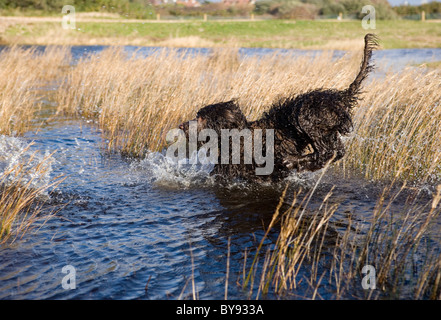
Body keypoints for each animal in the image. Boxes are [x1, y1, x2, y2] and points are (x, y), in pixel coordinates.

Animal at [177, 34, 376, 182]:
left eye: (201, 117)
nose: (181, 125)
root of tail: (339, 97)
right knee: (337, 151)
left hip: (306, 117)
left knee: (327, 152)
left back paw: (293, 161)